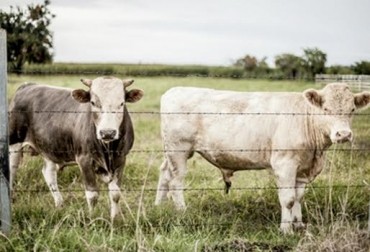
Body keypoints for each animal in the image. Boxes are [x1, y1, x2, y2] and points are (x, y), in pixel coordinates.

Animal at [155, 83, 370, 233]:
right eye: (326, 110)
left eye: (352, 110)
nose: (344, 134)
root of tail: (173, 91)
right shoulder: (284, 163)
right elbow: (288, 199)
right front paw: (286, 229)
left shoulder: (302, 168)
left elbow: (299, 197)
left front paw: (299, 225)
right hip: (179, 149)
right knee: (176, 181)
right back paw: (182, 211)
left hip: (171, 152)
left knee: (164, 174)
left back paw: (158, 206)